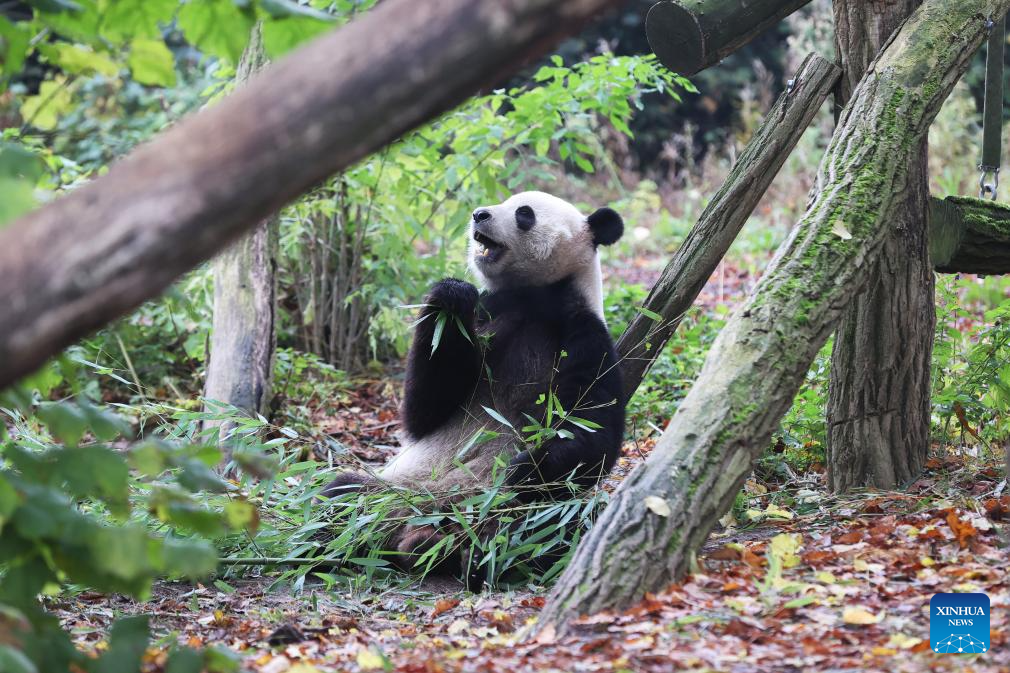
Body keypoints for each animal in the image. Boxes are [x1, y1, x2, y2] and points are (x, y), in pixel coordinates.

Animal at [323, 194, 622, 578]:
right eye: (506, 200)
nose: (479, 214)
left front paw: (523, 467)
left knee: (557, 528)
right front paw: (452, 293)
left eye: (524, 213)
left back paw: (467, 552)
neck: (532, 296)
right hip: (400, 487)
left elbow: (591, 432)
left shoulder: (583, 334)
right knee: (343, 494)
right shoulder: (485, 320)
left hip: (523, 513)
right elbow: (425, 410)